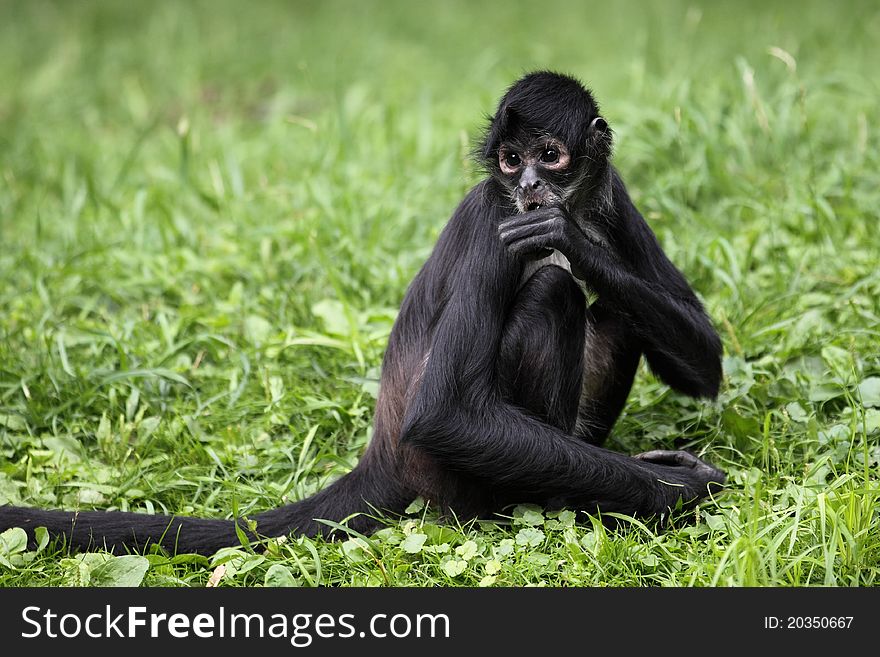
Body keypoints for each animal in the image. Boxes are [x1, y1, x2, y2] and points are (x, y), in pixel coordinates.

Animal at [0, 70, 724, 552]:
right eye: (511, 159)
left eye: (550, 155)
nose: (527, 186)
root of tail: (383, 450)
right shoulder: (495, 219)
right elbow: (446, 413)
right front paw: (679, 489)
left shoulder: (608, 190)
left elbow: (706, 363)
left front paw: (570, 237)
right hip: (453, 480)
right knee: (552, 291)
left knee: (615, 307)